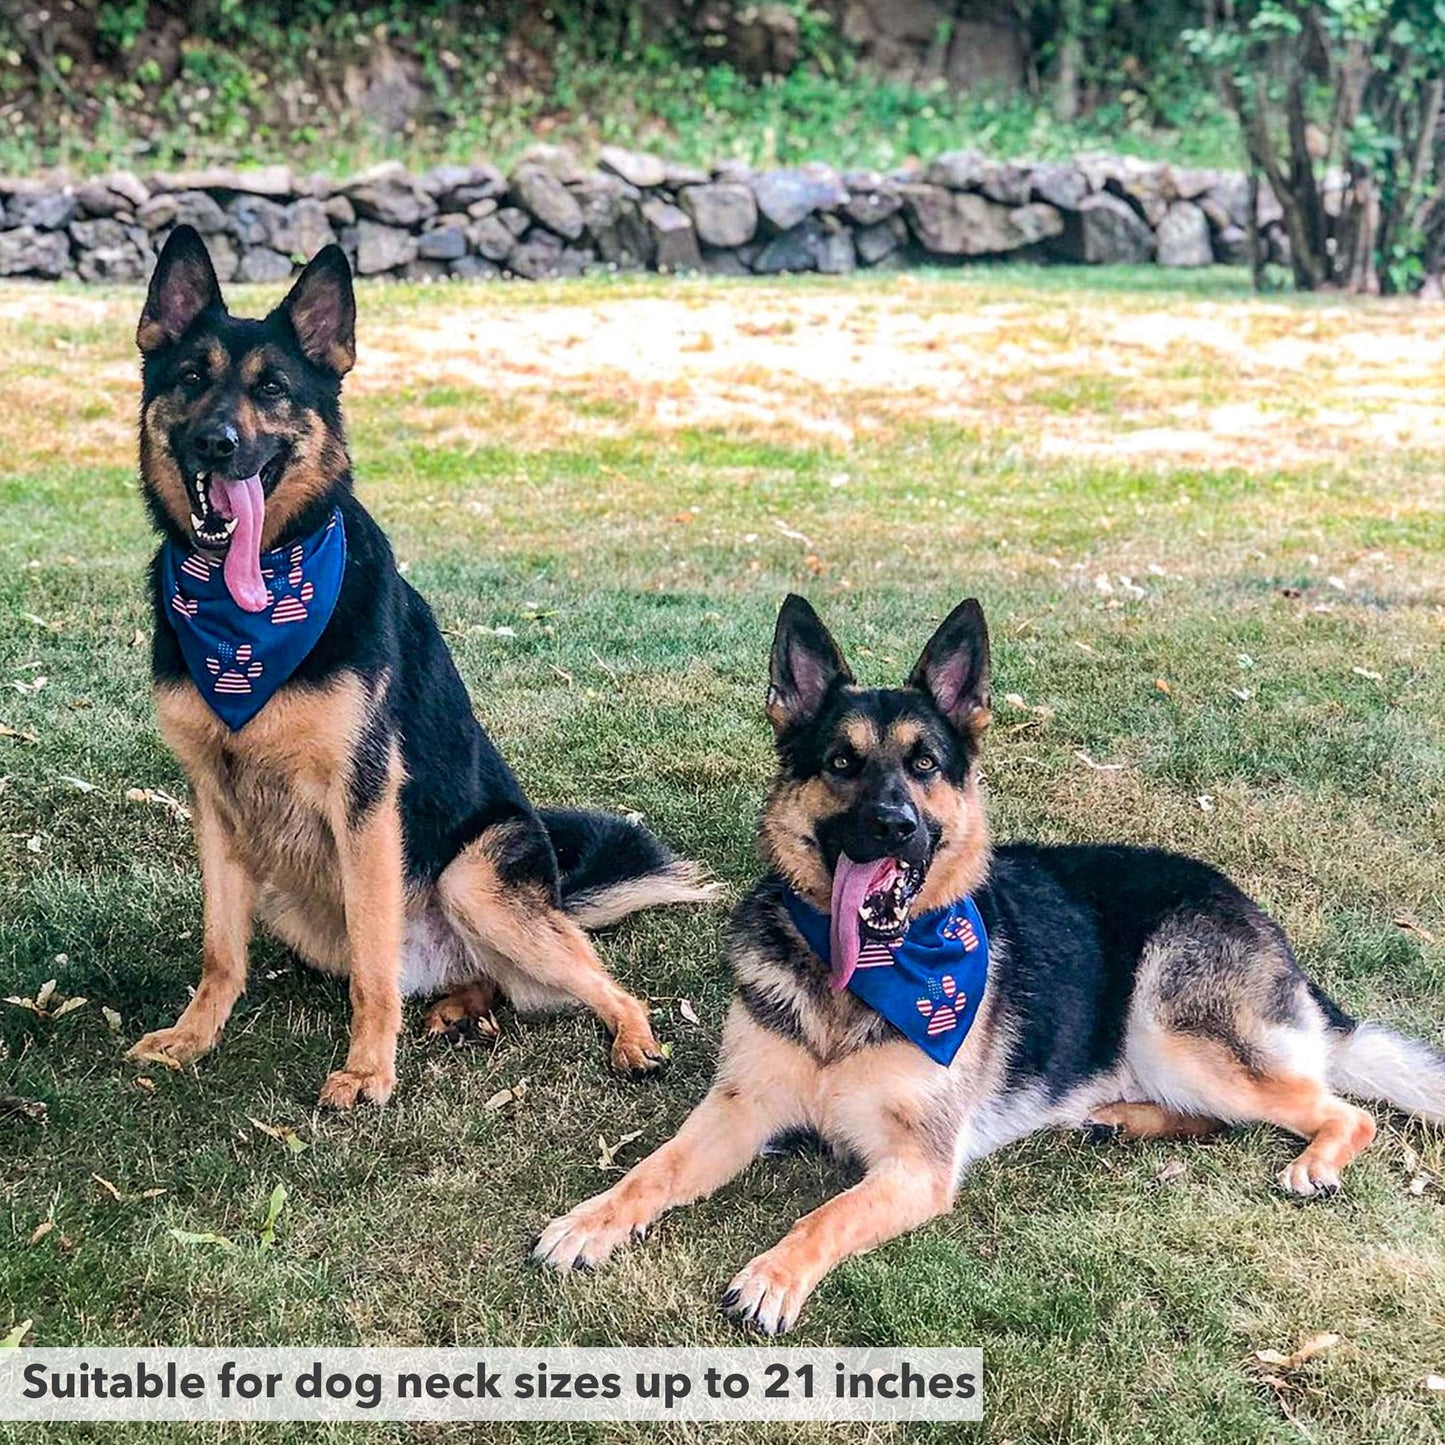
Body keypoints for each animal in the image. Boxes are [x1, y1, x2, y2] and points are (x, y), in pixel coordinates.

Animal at [127, 228, 713, 1103]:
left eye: (273, 388)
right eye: (192, 379)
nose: (216, 444)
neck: (250, 613)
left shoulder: (365, 806)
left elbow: (375, 962)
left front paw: (368, 1069)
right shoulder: (215, 803)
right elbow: (220, 950)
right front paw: (194, 1037)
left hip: (472, 879)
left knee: (594, 979)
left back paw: (631, 1037)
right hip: (296, 905)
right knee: (473, 978)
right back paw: (458, 1006)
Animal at [540, 595, 1445, 1329]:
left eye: (923, 764)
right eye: (841, 762)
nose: (894, 825)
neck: (868, 977)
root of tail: (1257, 917)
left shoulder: (916, 1167)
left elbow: (826, 1214)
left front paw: (773, 1274)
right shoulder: (737, 1110)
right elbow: (653, 1168)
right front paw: (591, 1219)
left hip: (1173, 1031)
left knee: (1337, 1109)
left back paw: (1310, 1161)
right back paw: (1123, 1117)